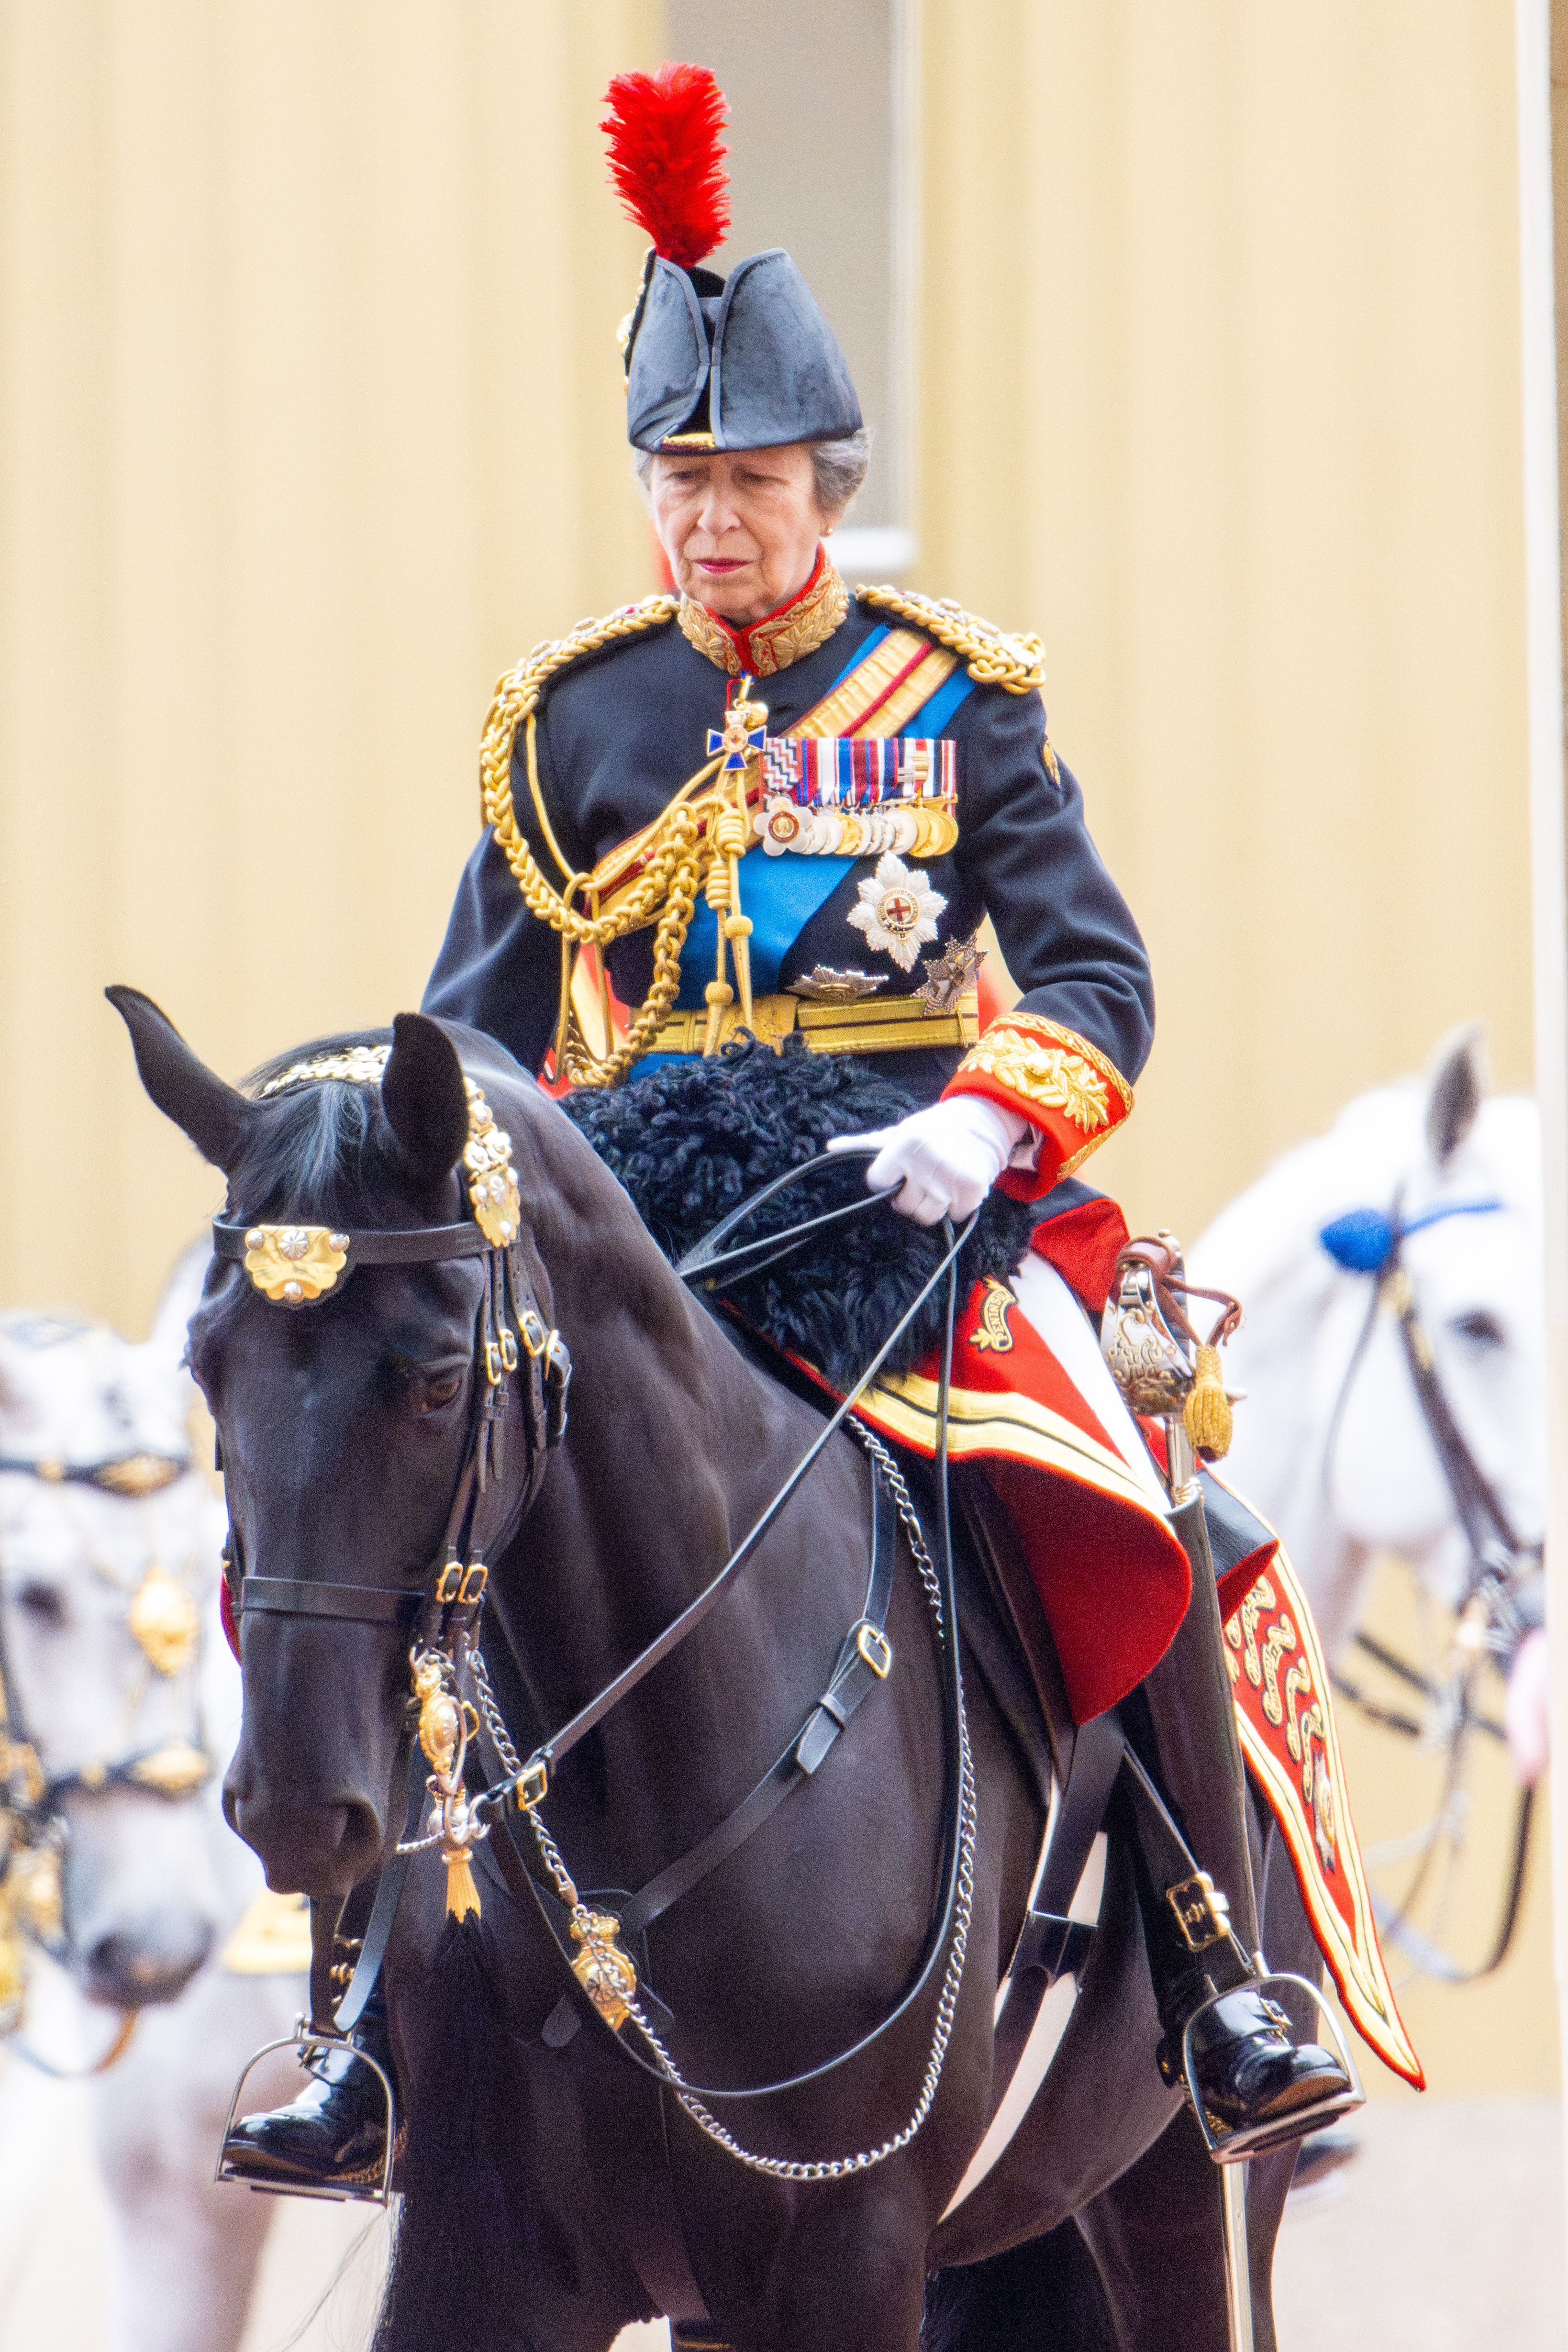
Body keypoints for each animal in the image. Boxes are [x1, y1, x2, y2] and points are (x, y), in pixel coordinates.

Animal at [113, 992, 1316, 2352]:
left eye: (435, 1379)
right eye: (206, 1365)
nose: (294, 1807)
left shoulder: (852, 2245)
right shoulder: (478, 2241)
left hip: (1174, 2191)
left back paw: (1243, 2028)